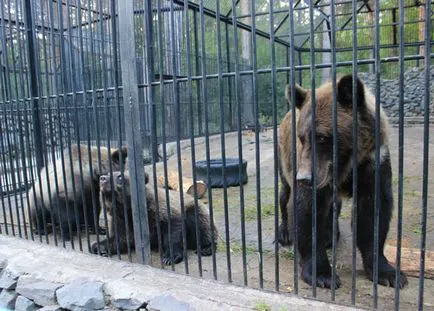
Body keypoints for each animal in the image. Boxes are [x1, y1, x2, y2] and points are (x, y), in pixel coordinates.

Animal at [278, 75, 406, 290]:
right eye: (302, 137)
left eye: (322, 137)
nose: (304, 178)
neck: (344, 167)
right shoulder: (312, 172)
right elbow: (306, 209)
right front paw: (322, 274)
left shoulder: (372, 163)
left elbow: (373, 213)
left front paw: (387, 273)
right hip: (284, 161)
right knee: (284, 195)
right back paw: (285, 233)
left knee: (333, 206)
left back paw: (331, 234)